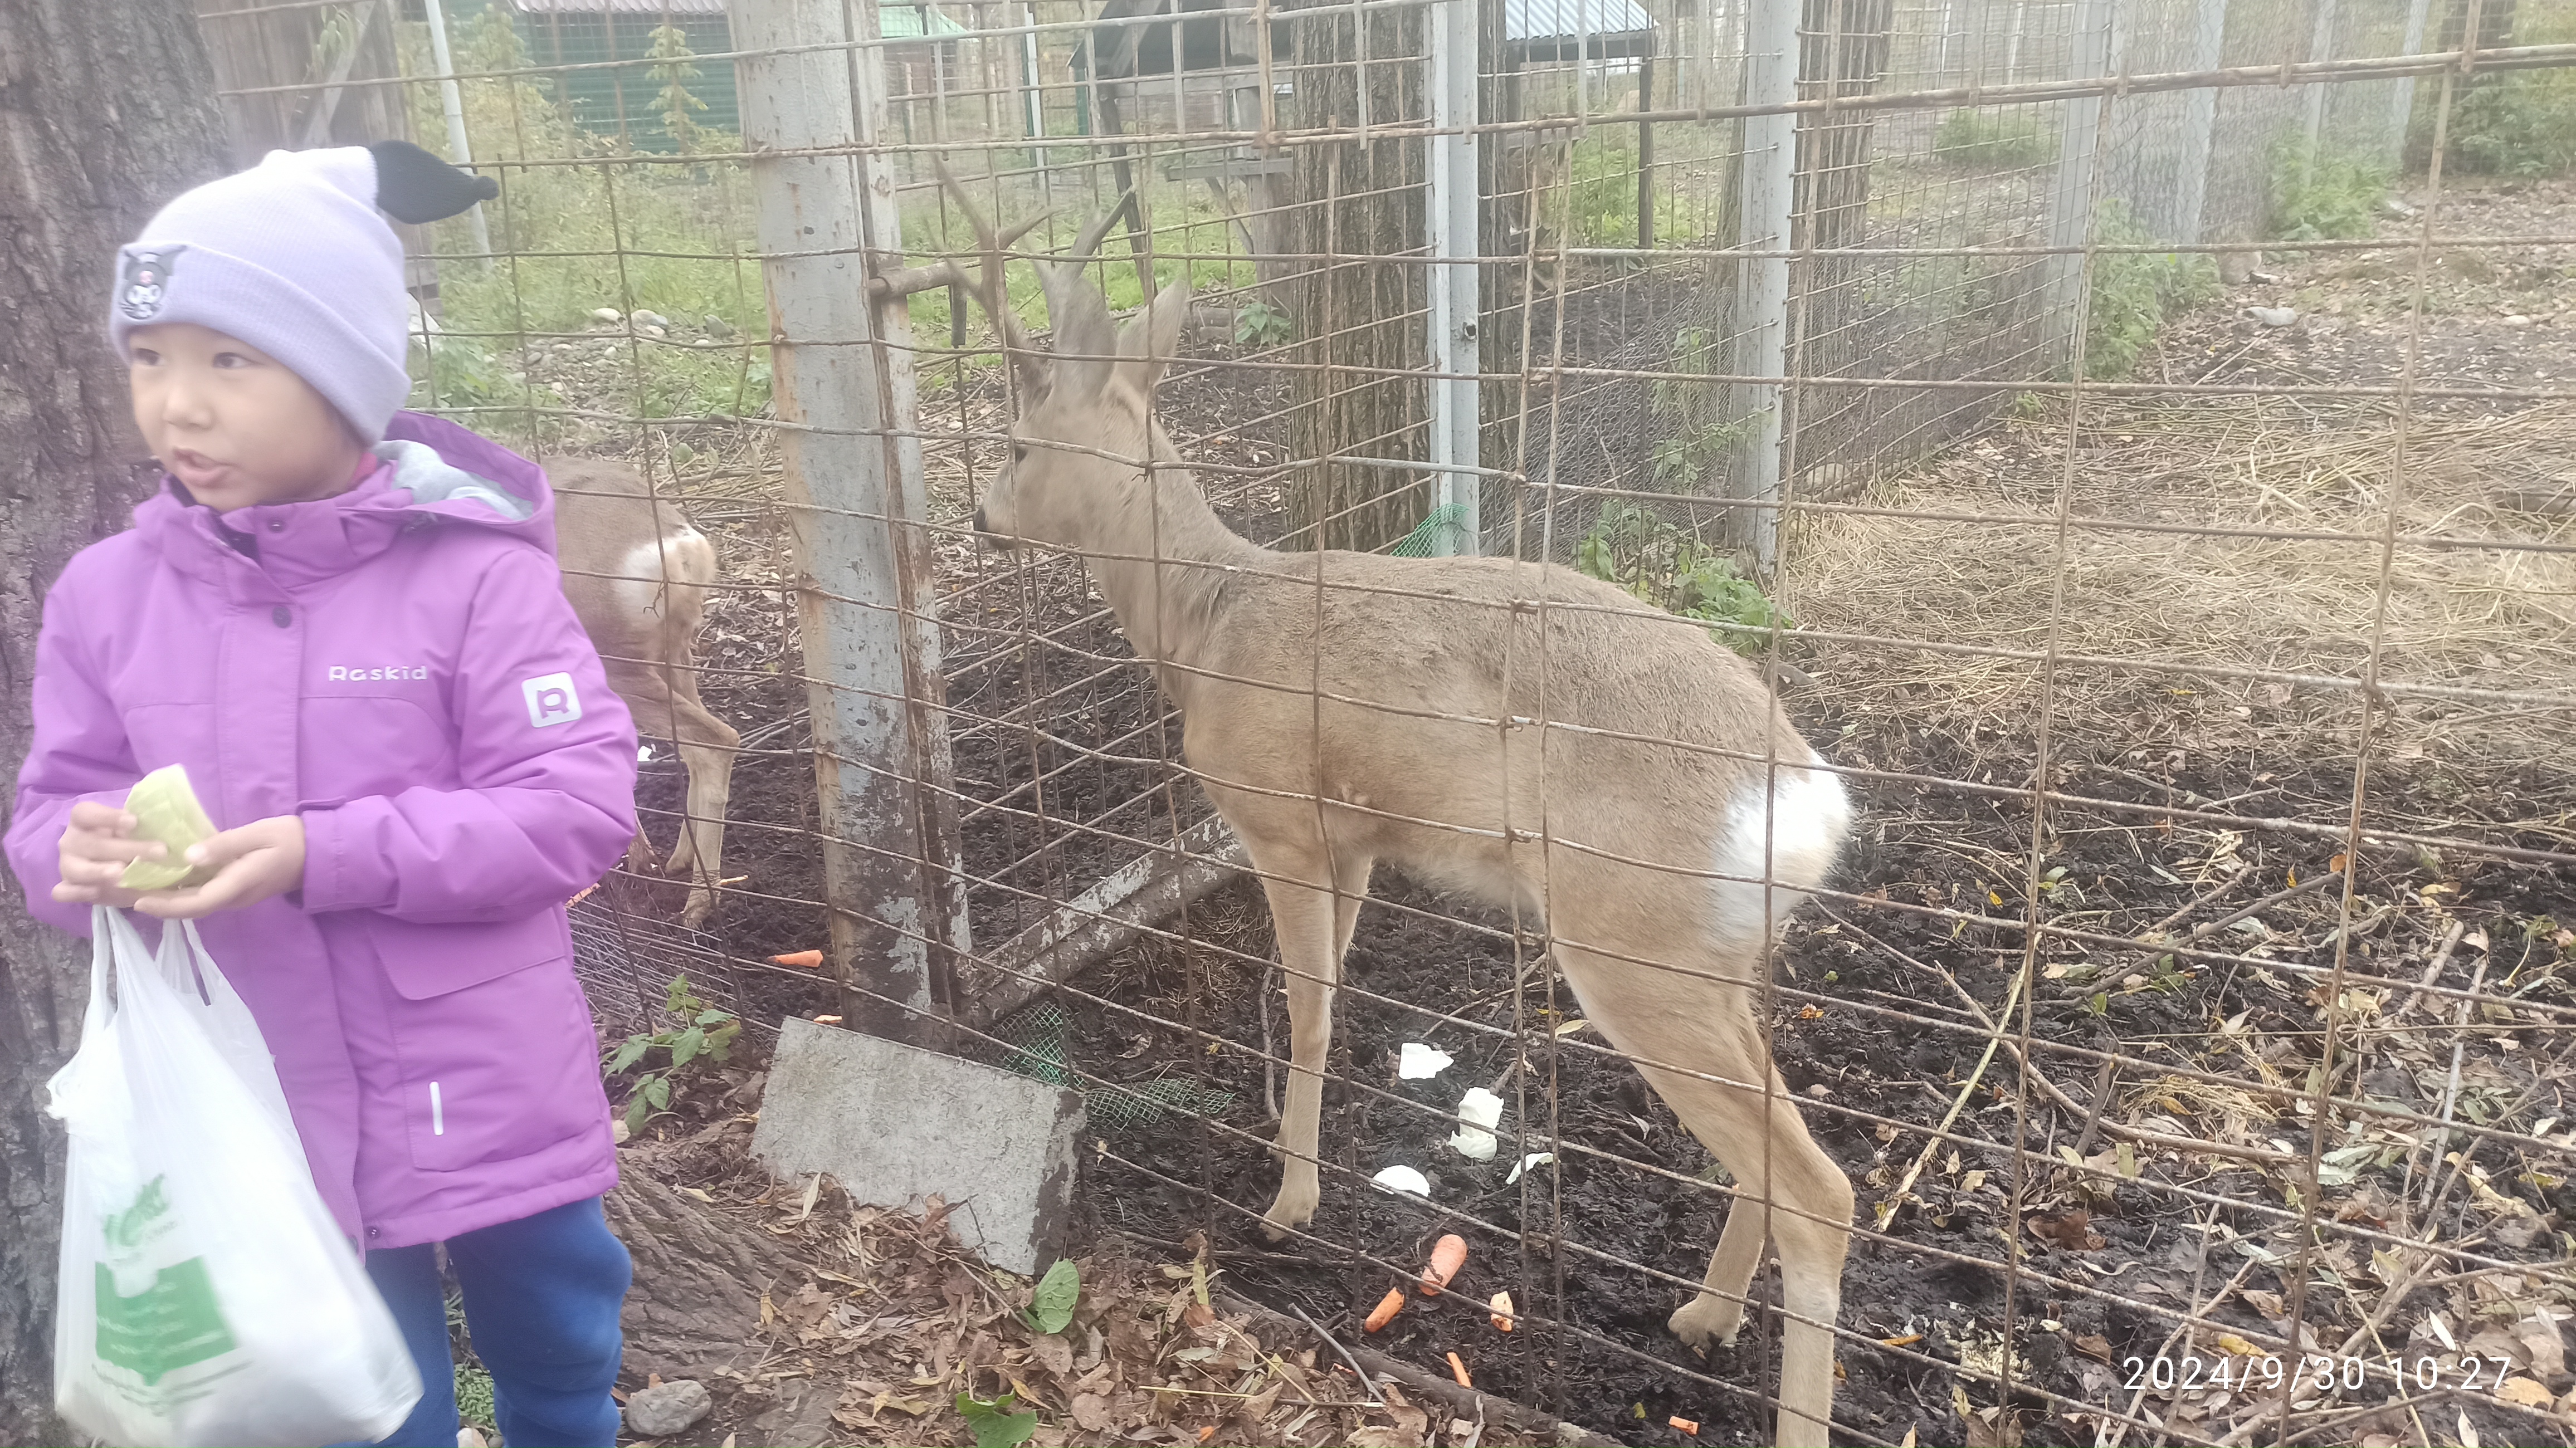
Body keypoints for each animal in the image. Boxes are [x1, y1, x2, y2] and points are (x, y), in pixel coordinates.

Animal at [548, 458, 736, 922]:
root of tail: (680, 544)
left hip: (614, 663)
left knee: (717, 741)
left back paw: (697, 903)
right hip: (673, 650)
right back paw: (676, 861)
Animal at [938, 171, 1865, 1442]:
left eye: (1020, 443)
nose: (982, 517)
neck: (1207, 623)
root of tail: (1806, 803)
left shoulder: (1281, 820)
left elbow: (1309, 1010)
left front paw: (1287, 1201)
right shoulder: (1361, 842)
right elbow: (1338, 997)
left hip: (1635, 942)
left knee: (1821, 1189)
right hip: (1721, 956)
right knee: (1773, 1151)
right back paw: (1698, 1318)